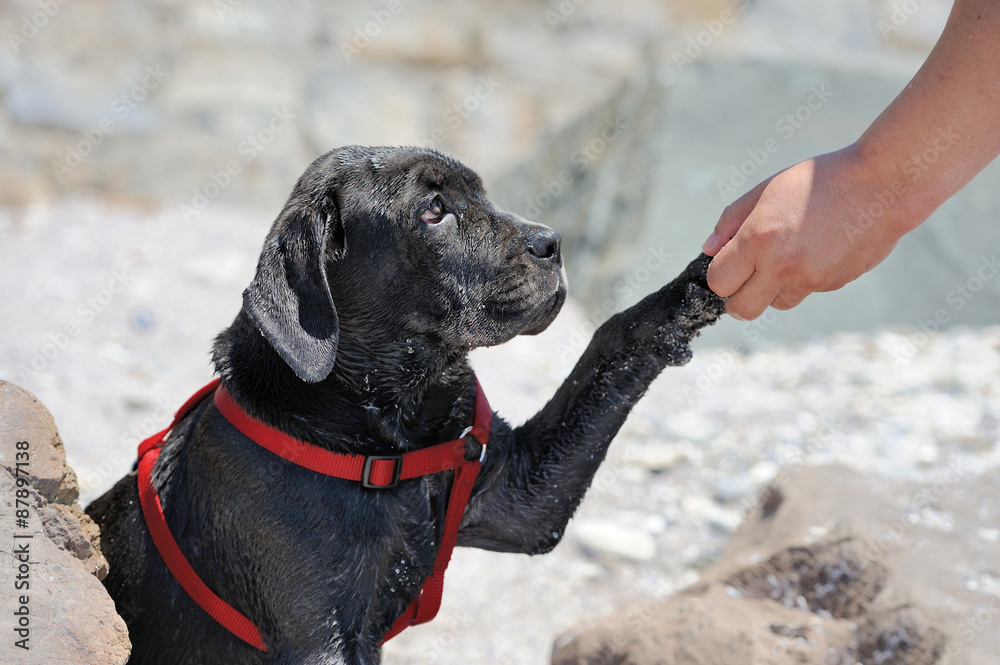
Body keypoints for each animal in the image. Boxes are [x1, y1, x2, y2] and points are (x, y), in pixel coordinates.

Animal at [86, 147, 724, 664]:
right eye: (433, 211)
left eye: (482, 194)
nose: (552, 243)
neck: (387, 434)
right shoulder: (318, 638)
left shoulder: (520, 499)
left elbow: (612, 340)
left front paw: (697, 285)